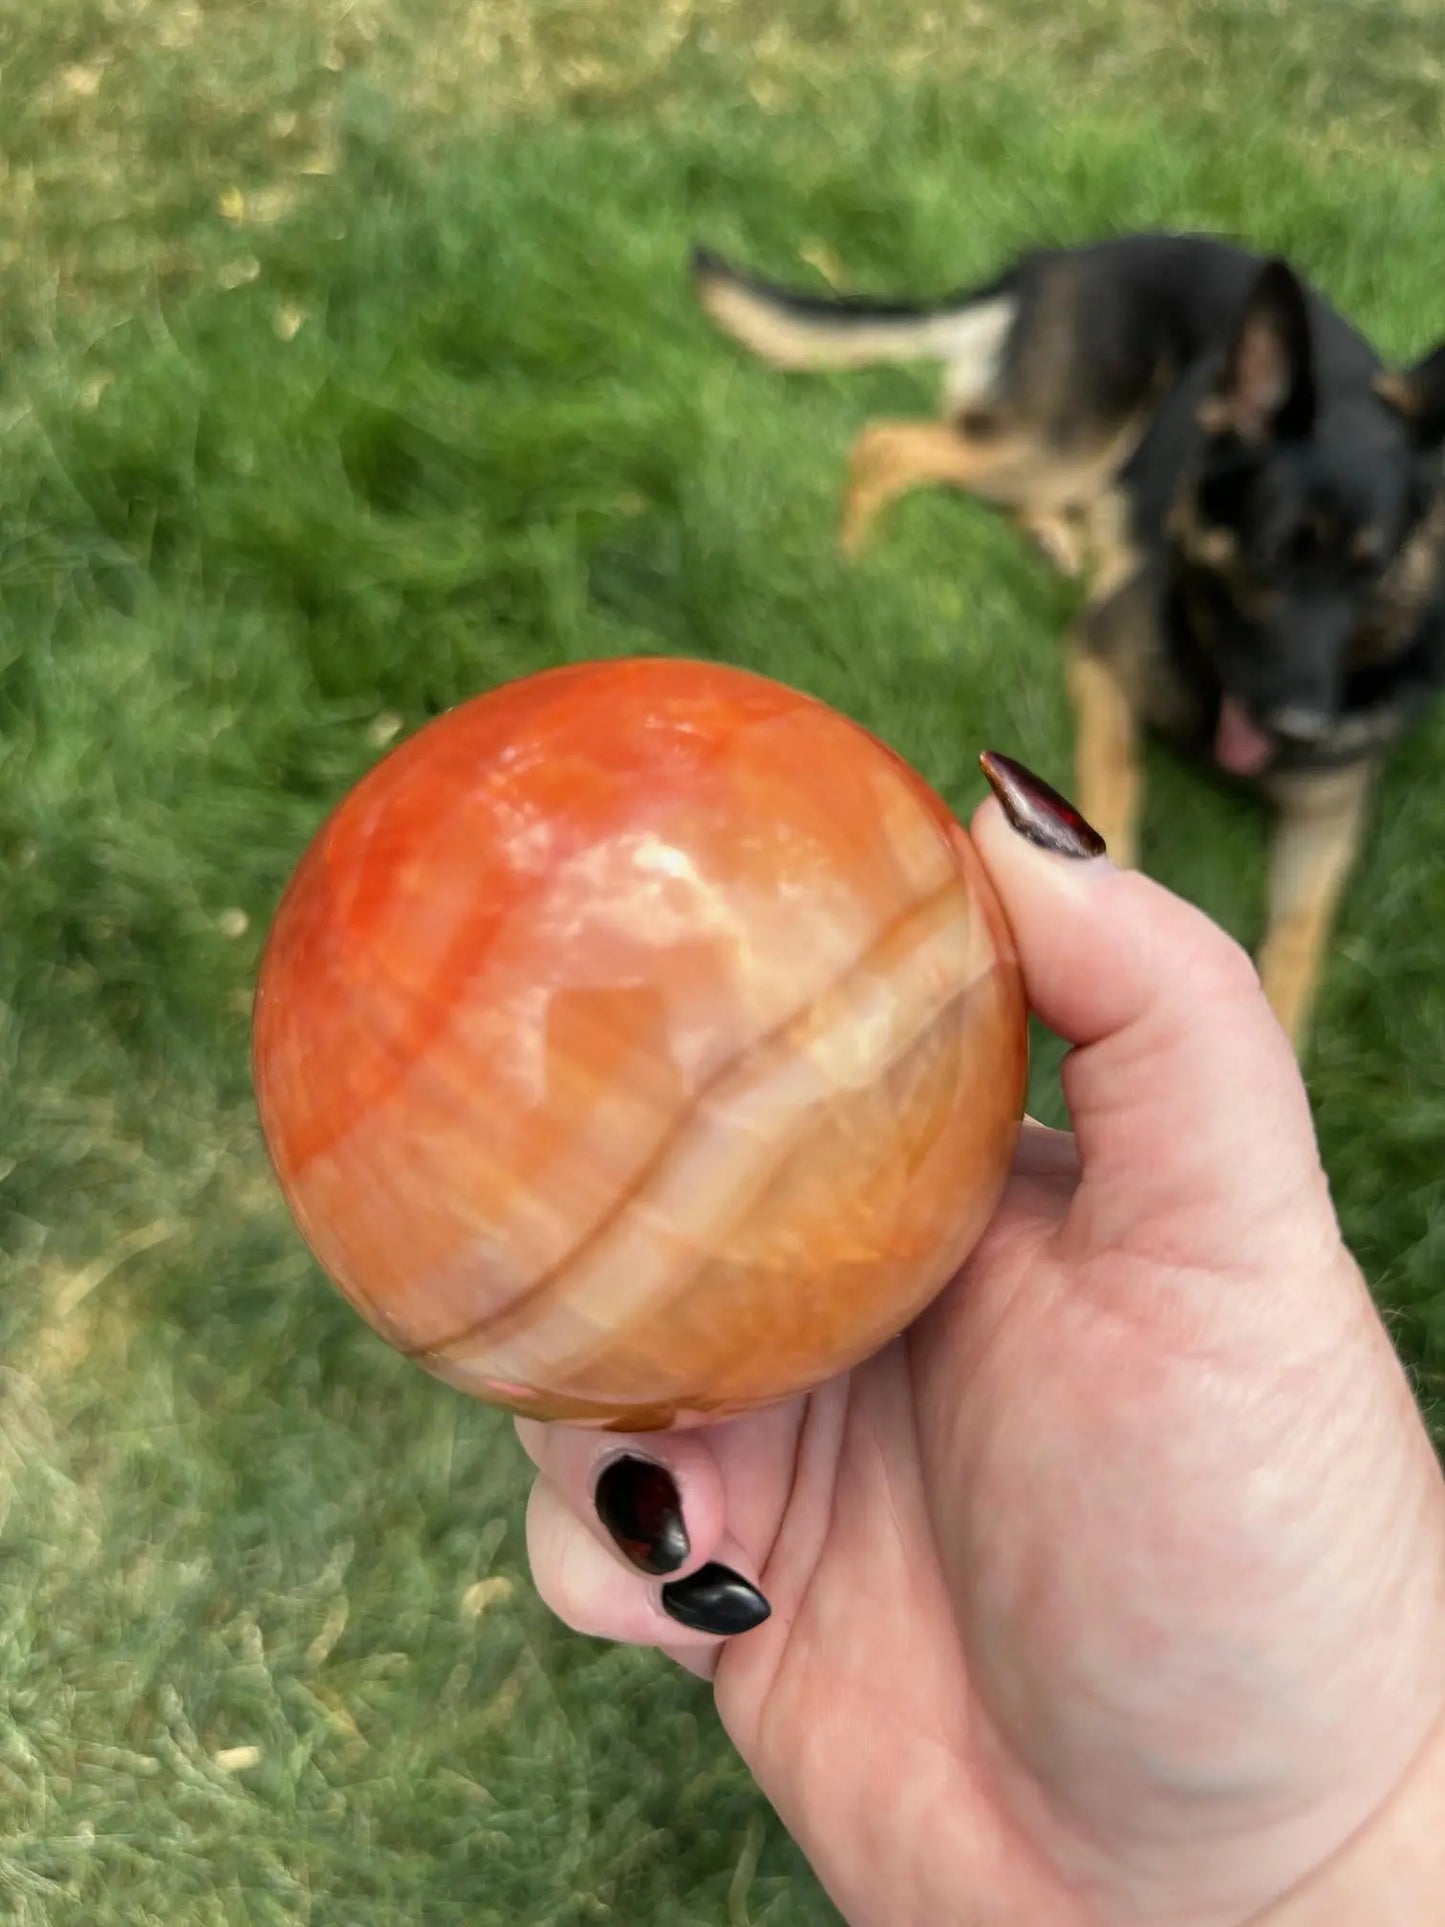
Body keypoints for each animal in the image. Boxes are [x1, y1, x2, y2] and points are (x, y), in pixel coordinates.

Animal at [693, 235, 1445, 1063]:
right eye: (1270, 554)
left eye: (1371, 571)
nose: (1300, 726)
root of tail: (1061, 257)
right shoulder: (1102, 657)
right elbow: (1118, 771)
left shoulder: (1331, 807)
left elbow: (1303, 933)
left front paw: (1278, 1035)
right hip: (1065, 439)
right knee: (889, 442)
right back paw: (851, 555)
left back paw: (1058, 540)